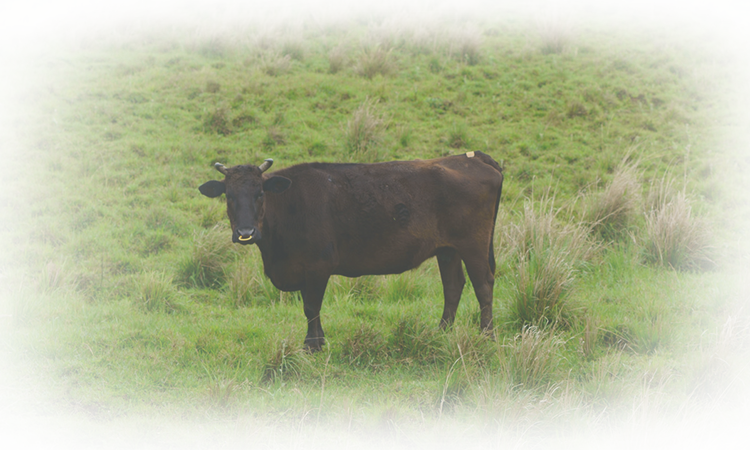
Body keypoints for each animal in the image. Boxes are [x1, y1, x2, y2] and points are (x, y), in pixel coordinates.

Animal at [200, 152, 506, 352]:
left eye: (260, 194)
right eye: (228, 196)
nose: (246, 232)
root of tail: (471, 157)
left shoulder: (318, 265)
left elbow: (311, 306)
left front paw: (312, 346)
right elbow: (309, 307)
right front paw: (318, 341)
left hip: (474, 245)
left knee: (483, 285)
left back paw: (486, 337)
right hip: (448, 249)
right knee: (453, 287)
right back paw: (441, 333)